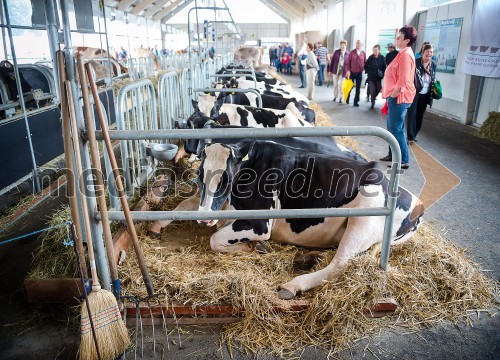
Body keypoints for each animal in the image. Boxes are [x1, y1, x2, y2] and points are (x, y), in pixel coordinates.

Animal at [190, 139, 422, 300]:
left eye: (226, 178)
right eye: (200, 175)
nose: (203, 218)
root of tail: (414, 202)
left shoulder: (258, 224)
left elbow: (214, 240)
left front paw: (251, 247)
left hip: (363, 219)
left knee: (340, 263)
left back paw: (292, 286)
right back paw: (308, 257)